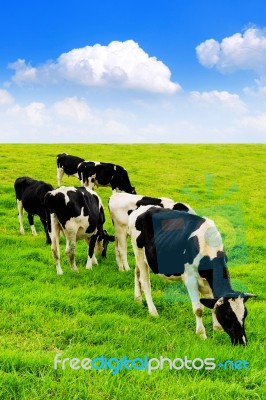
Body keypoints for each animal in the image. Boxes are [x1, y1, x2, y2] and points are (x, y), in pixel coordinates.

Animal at [128, 205, 256, 346]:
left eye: (244, 315)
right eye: (228, 316)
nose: (242, 342)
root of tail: (142, 208)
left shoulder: (207, 282)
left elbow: (212, 304)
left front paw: (217, 329)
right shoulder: (190, 278)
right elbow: (199, 309)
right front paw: (201, 334)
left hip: (143, 257)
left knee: (136, 273)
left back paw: (137, 299)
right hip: (139, 251)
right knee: (145, 282)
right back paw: (153, 311)